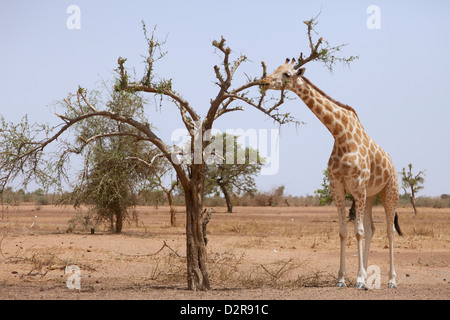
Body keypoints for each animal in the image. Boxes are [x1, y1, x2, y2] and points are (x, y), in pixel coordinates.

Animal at [262, 58, 402, 288]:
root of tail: (392, 164)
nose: (263, 82)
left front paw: (359, 280)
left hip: (390, 191)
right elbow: (344, 232)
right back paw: (370, 276)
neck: (340, 134)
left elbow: (357, 231)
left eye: (287, 74)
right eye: (276, 69)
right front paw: (342, 279)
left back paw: (391, 280)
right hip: (371, 196)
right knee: (372, 229)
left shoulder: (357, 186)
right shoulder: (337, 187)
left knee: (390, 231)